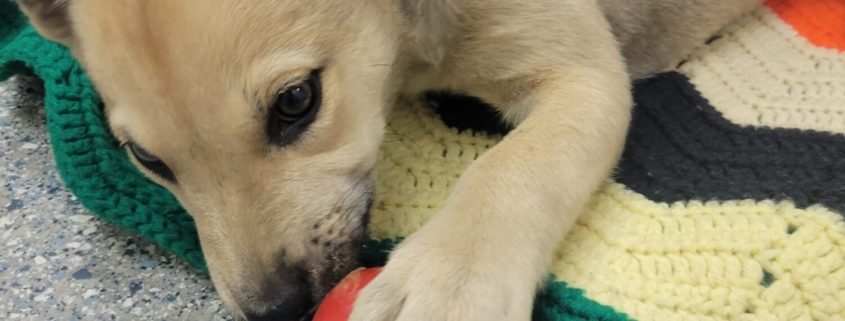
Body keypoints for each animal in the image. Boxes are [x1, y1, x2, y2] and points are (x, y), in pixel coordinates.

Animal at [18, 0, 760, 320]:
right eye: (147, 157)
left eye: (297, 100)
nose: (275, 311)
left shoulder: (583, 76)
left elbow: (509, 169)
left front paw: (451, 284)